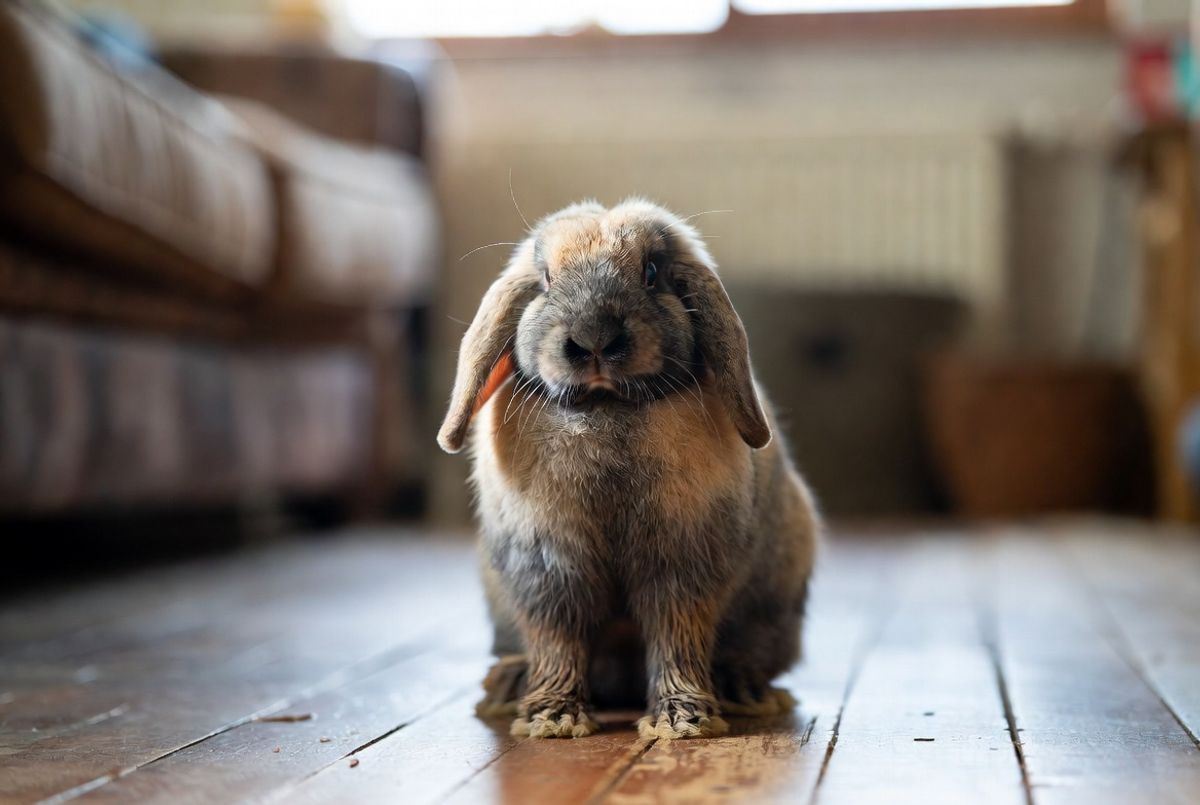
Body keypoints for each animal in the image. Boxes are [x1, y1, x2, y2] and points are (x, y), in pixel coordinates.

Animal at [438, 199, 820, 740]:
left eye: (652, 272)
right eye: (546, 278)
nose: (594, 339)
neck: (606, 408)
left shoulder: (681, 566)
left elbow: (676, 636)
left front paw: (684, 721)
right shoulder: (552, 569)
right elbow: (558, 640)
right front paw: (551, 718)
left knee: (750, 652)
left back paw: (744, 690)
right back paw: (506, 688)